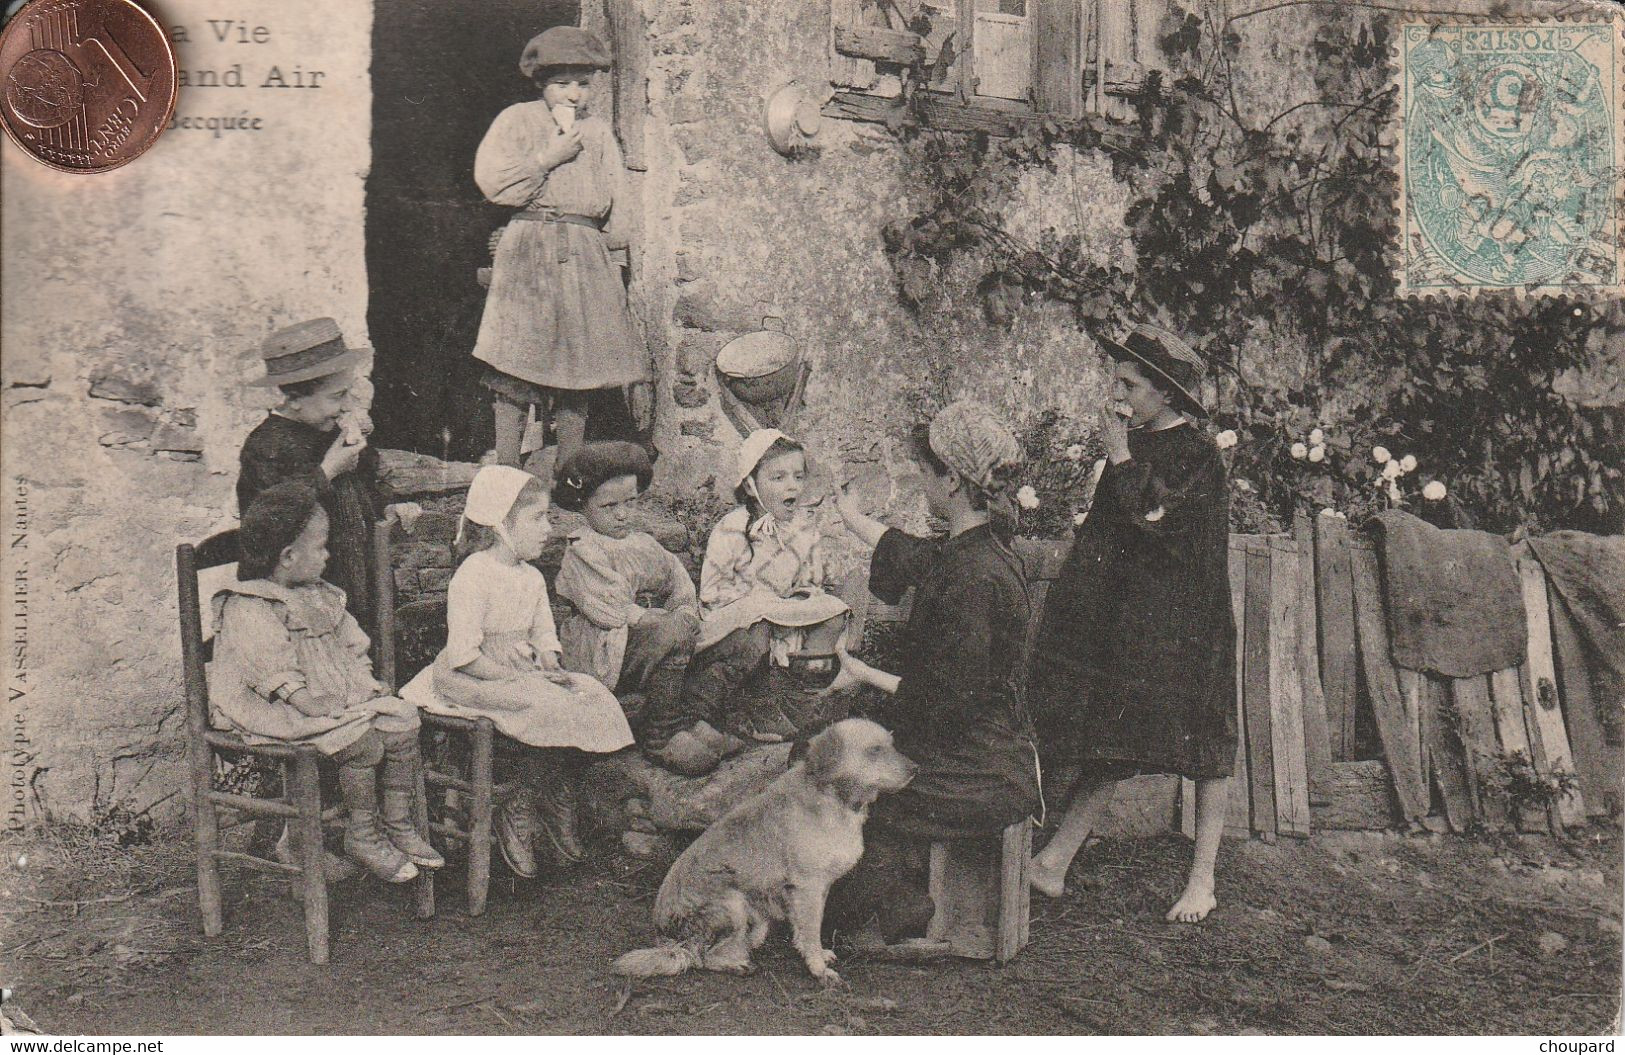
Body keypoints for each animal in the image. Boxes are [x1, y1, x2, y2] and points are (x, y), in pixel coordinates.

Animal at [611, 718, 916, 981]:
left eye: (892, 744)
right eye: (874, 750)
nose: (916, 769)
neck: (832, 797)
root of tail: (671, 942)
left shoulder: (817, 888)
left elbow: (808, 930)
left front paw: (816, 955)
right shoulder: (807, 887)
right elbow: (811, 931)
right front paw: (818, 970)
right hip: (733, 906)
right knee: (704, 958)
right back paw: (737, 964)